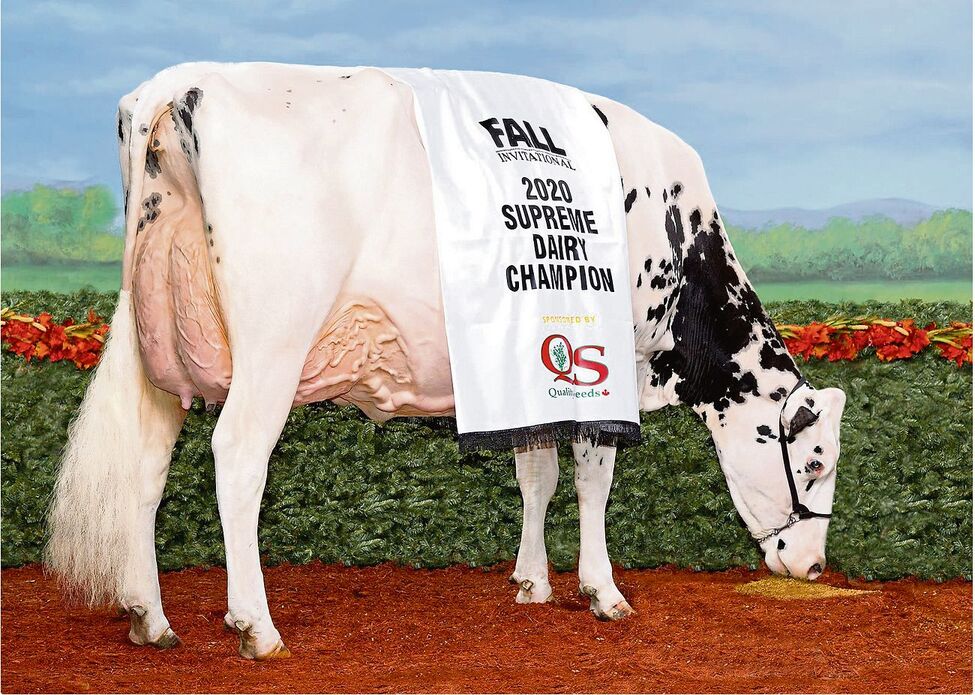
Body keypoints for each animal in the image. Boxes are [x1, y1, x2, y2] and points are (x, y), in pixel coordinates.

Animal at [46, 63, 846, 660]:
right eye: (812, 462)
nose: (812, 565)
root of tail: (176, 85)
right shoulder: (605, 365)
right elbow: (592, 481)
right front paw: (603, 592)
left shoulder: (534, 365)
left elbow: (535, 474)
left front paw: (531, 582)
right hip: (273, 341)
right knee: (238, 457)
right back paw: (256, 626)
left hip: (156, 346)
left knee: (144, 469)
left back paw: (149, 617)